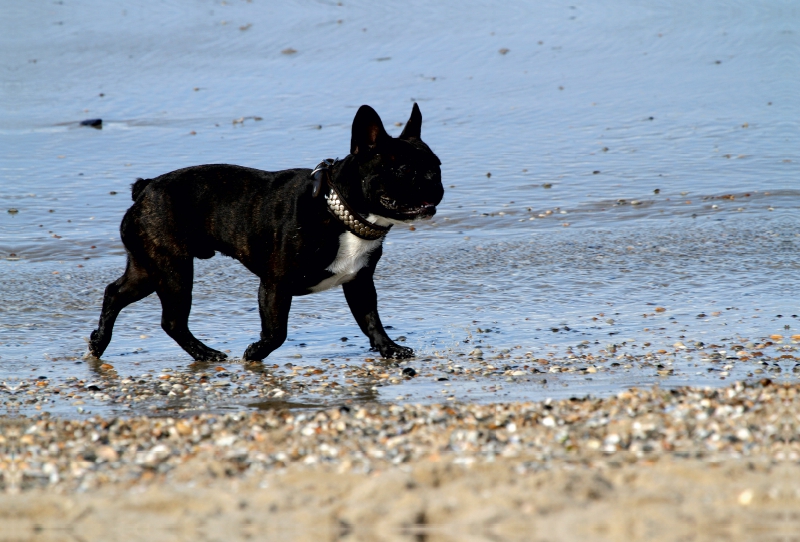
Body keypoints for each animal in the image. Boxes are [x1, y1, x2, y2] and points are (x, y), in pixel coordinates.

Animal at [92, 104, 444, 364]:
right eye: (404, 171)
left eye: (437, 166)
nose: (434, 182)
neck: (338, 209)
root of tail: (146, 188)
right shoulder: (276, 284)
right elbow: (277, 331)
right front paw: (255, 353)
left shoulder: (359, 282)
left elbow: (371, 319)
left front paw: (389, 348)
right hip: (173, 270)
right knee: (172, 321)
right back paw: (206, 354)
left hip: (148, 268)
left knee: (115, 292)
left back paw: (99, 342)